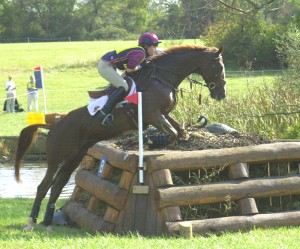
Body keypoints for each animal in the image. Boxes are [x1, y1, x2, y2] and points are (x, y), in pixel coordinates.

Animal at [14, 43, 225, 231]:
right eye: (218, 67)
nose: (221, 95)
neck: (162, 77)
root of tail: (54, 124)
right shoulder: (152, 115)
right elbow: (172, 133)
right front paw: (151, 141)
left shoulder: (162, 114)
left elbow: (180, 131)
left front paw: (187, 132)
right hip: (56, 157)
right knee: (44, 186)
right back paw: (32, 222)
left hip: (74, 158)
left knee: (58, 185)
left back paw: (48, 222)